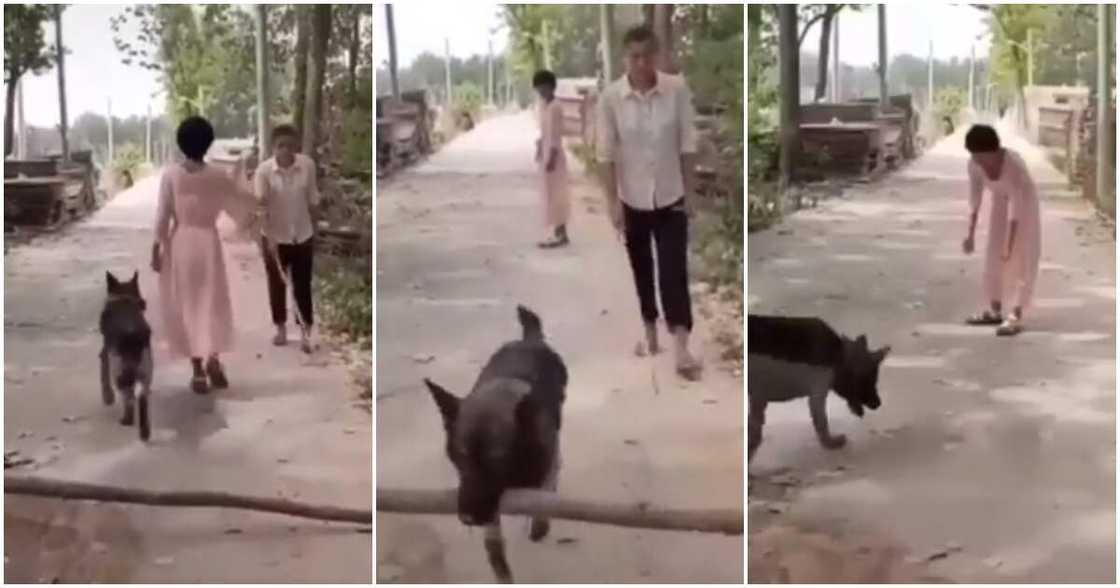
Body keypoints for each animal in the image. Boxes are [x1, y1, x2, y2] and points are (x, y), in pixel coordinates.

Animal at [99, 271, 153, 439]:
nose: (144, 303)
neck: (123, 297)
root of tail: (132, 334)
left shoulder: (105, 355)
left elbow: (103, 378)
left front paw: (108, 398)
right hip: (146, 370)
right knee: (142, 397)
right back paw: (144, 431)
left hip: (119, 372)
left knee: (129, 399)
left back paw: (127, 420)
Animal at [425, 304, 573, 577]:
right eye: (461, 454)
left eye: (496, 457)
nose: (468, 518)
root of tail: (529, 340)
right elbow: (493, 538)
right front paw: (498, 561)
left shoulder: (546, 460)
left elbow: (546, 486)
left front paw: (540, 522)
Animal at [748, 313, 887, 461]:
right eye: (867, 379)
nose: (878, 403)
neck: (838, 355)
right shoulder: (818, 390)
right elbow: (821, 422)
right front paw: (834, 443)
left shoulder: (759, 397)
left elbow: (754, 427)